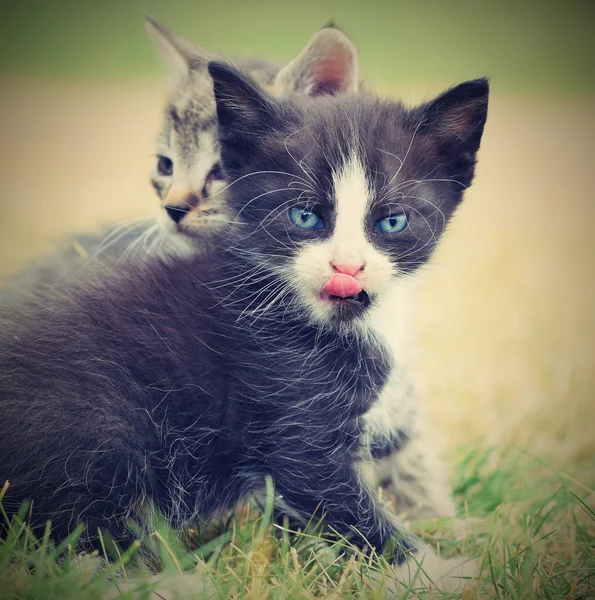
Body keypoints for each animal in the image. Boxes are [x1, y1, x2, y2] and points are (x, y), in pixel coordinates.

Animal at [0, 61, 488, 592]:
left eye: (394, 221)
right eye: (304, 216)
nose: (347, 266)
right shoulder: (284, 397)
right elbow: (335, 497)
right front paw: (435, 571)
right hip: (91, 424)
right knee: (84, 533)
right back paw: (166, 584)